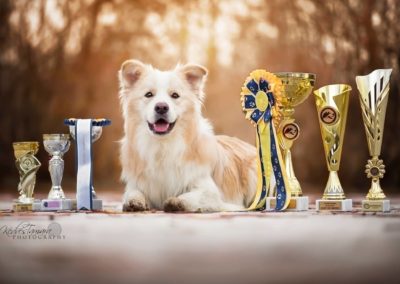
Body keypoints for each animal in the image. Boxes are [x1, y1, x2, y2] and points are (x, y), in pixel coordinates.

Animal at [118, 59, 256, 211]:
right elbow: (133, 193)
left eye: (175, 95)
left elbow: (190, 196)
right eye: (149, 94)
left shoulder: (209, 191)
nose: (161, 107)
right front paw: (134, 202)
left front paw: (176, 202)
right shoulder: (137, 184)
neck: (163, 145)